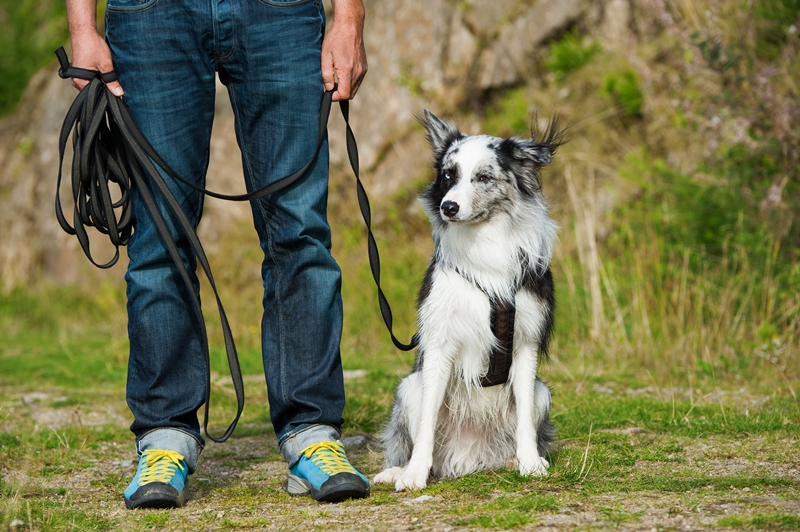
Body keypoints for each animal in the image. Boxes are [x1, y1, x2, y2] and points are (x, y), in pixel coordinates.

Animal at [374, 110, 564, 492]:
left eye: (484, 177)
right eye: (449, 174)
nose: (448, 207)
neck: (484, 240)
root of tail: (467, 458)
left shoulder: (526, 342)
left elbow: (524, 418)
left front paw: (531, 463)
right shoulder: (439, 341)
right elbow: (427, 423)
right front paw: (414, 474)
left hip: (543, 392)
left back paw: (512, 460)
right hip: (409, 387)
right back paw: (398, 470)